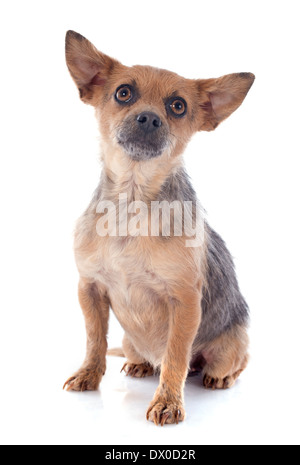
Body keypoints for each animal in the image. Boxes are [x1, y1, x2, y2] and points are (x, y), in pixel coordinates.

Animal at [63, 30, 255, 426]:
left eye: (178, 106)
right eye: (123, 93)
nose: (149, 119)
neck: (132, 205)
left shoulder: (184, 303)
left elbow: (176, 357)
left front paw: (168, 401)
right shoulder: (89, 288)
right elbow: (94, 339)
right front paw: (89, 373)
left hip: (230, 348)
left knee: (221, 364)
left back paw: (218, 377)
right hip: (131, 342)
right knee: (140, 355)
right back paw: (139, 366)